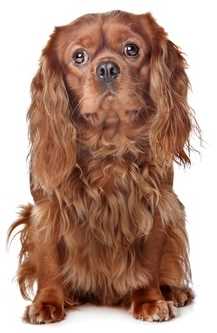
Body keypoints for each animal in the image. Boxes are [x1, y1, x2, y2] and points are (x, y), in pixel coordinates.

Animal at [8, 10, 195, 322]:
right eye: (79, 56)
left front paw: (150, 300)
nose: (107, 68)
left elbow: (148, 263)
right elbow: (49, 261)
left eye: (131, 49)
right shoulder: (46, 209)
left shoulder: (157, 204)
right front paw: (47, 303)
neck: (109, 144)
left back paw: (173, 291)